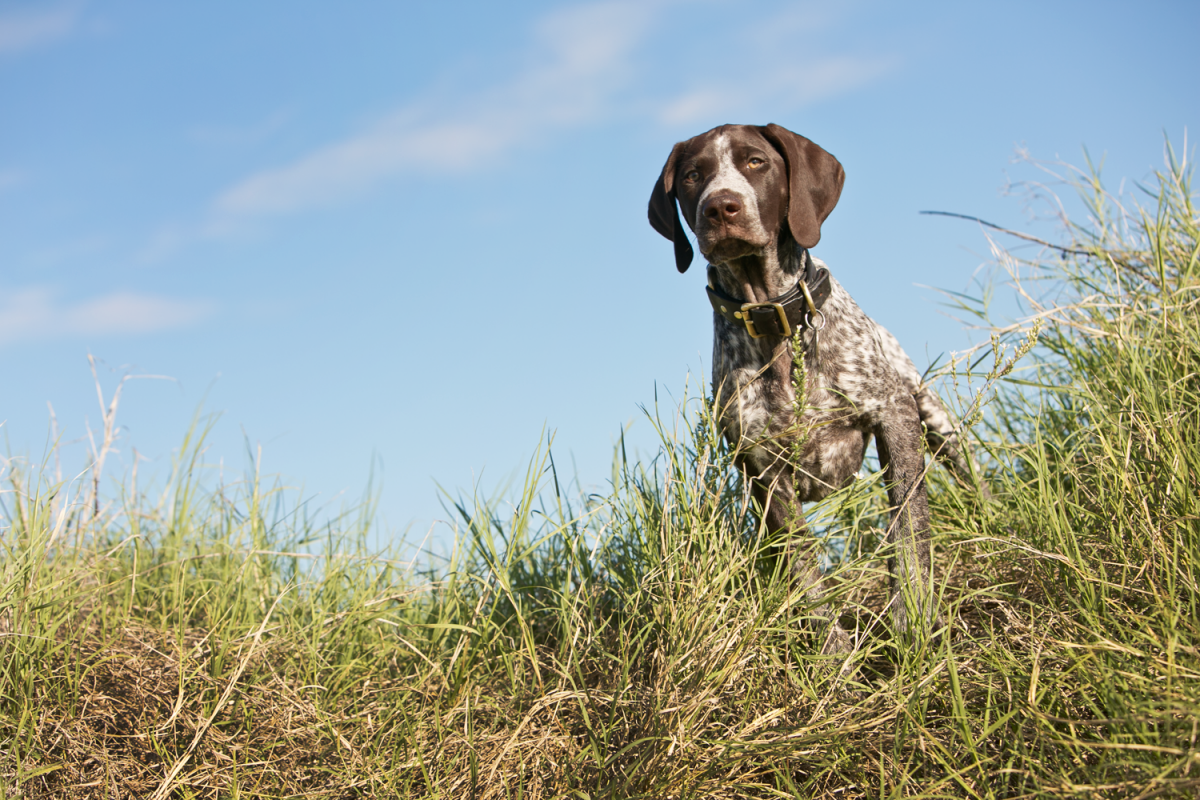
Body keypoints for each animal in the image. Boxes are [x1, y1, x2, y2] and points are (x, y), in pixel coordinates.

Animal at [648, 126, 974, 652]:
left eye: (756, 162)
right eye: (694, 175)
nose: (721, 208)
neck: (775, 320)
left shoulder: (895, 417)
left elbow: (907, 527)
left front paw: (913, 616)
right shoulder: (762, 467)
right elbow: (801, 560)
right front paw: (830, 647)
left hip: (934, 416)